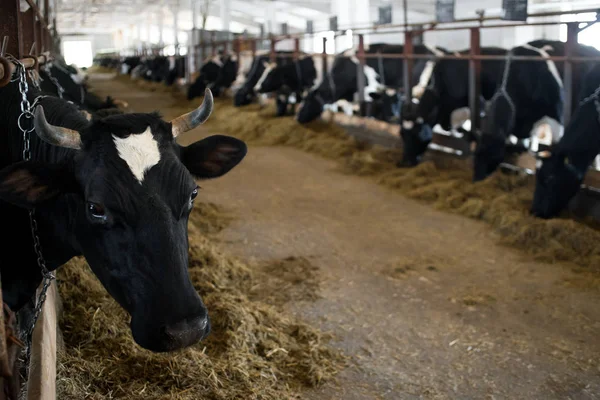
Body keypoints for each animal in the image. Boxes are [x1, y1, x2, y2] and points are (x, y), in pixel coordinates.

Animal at [296, 42, 446, 124]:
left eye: (308, 101)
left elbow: (367, 113)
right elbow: (350, 113)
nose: (298, 118)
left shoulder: (370, 90)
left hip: (417, 89)